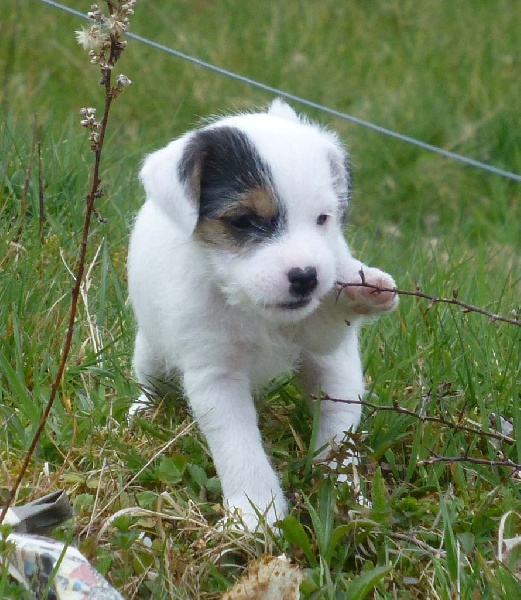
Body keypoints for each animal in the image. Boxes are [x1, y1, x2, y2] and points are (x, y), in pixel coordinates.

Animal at [128, 99, 396, 528]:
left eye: (323, 219)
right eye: (243, 221)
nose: (306, 277)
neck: (249, 305)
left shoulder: (320, 342)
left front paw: (360, 290)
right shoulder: (216, 375)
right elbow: (240, 447)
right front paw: (255, 514)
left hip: (335, 373)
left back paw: (345, 489)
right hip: (152, 357)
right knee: (151, 383)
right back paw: (142, 409)